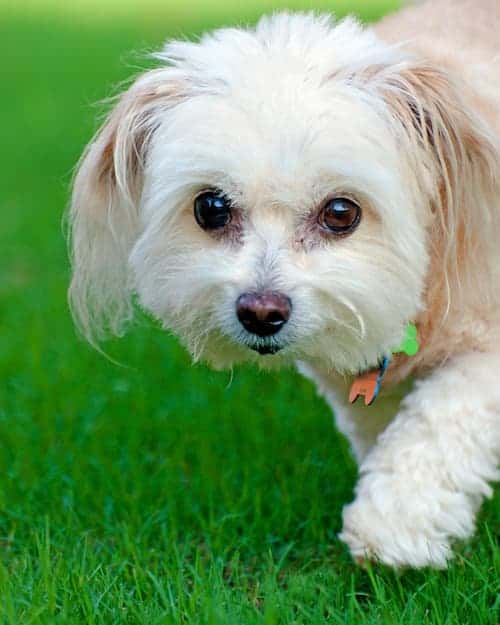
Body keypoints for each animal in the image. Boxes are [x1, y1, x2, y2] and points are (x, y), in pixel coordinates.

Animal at [67, 0, 500, 564]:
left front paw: (394, 524)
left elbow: (443, 417)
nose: (260, 312)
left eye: (341, 212)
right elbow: (387, 427)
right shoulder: (358, 380)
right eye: (211, 207)